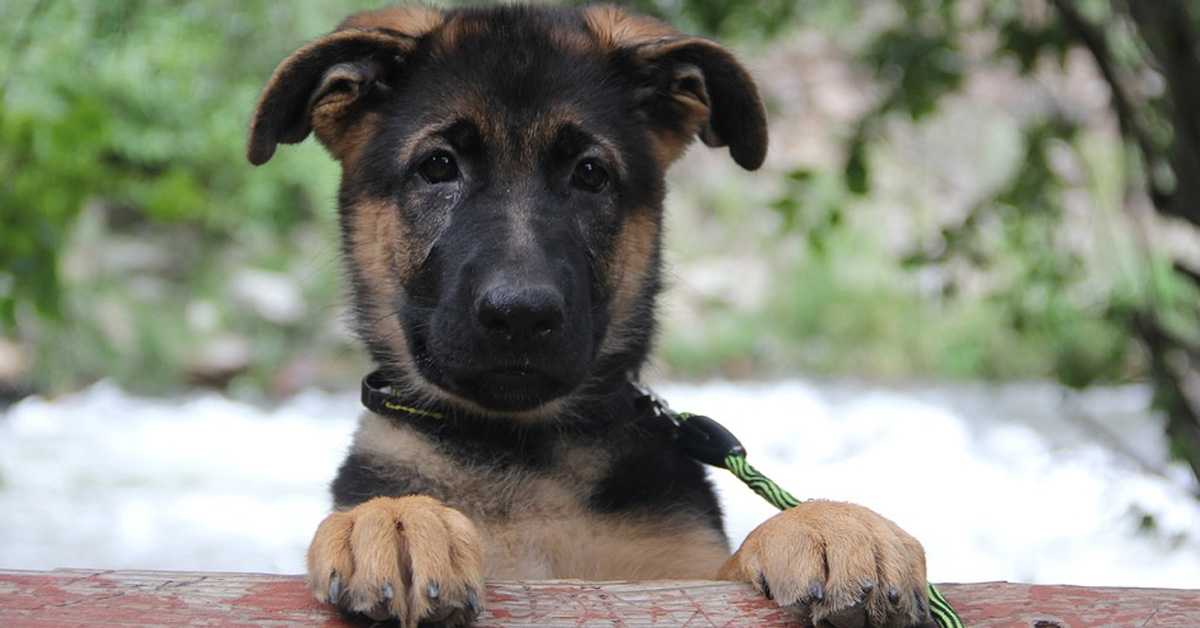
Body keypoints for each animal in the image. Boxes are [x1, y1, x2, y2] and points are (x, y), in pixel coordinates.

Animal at [248, 4, 931, 628]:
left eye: (591, 174)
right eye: (437, 166)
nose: (521, 316)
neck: (521, 452)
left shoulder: (676, 579)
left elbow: (730, 567)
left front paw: (827, 524)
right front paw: (396, 518)